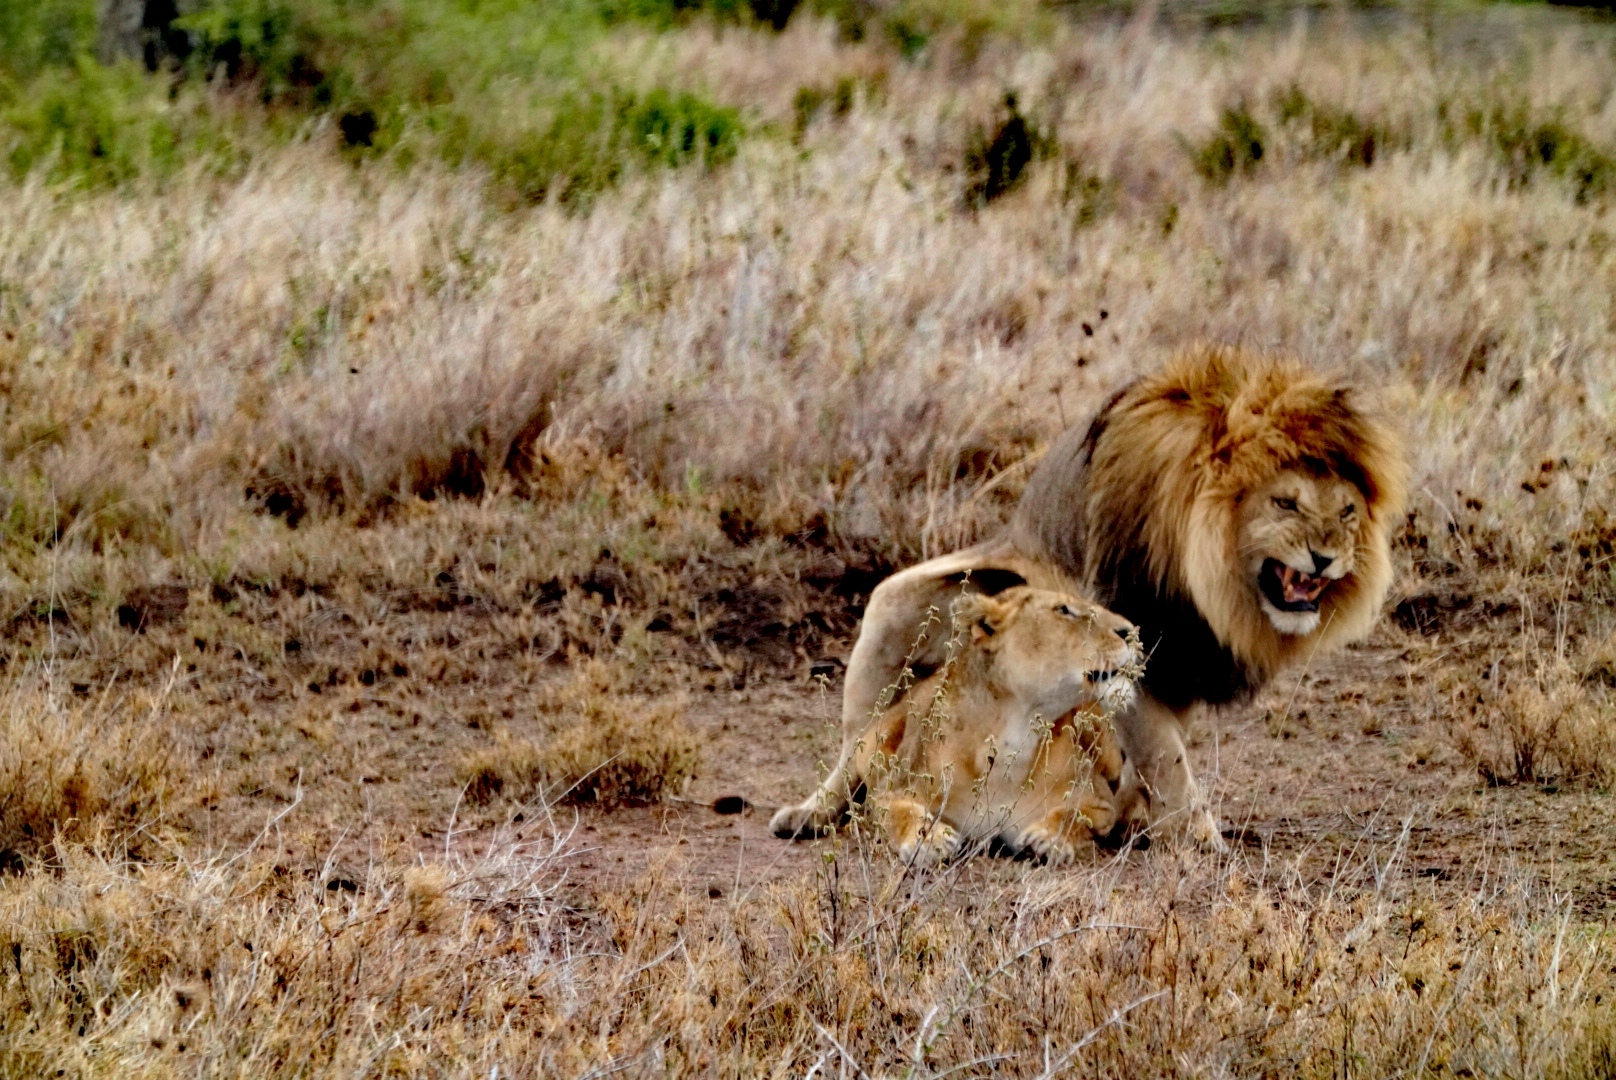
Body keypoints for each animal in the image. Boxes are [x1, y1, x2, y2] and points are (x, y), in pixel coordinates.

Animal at [846, 585, 1137, 866]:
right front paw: (928, 841)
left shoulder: (1100, 800)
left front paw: (1048, 838)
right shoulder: (892, 789)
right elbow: (900, 812)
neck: (1015, 736)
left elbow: (1077, 814)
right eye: (1063, 609)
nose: (1131, 632)